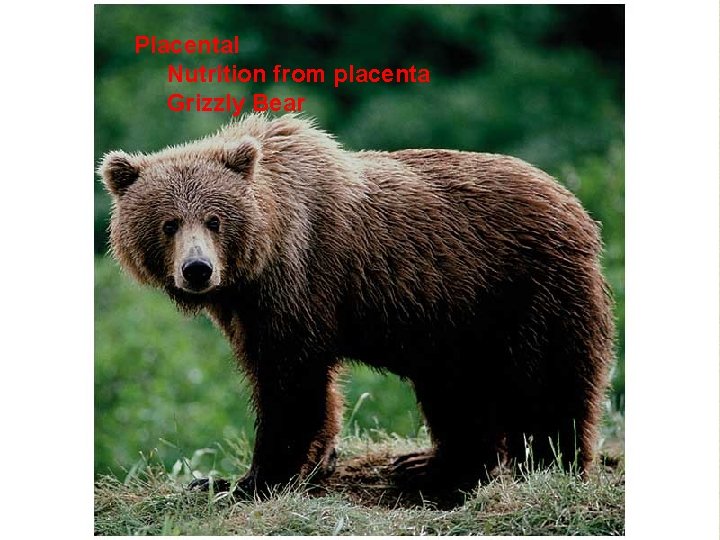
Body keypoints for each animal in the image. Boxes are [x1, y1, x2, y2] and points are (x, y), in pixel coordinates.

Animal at [99, 114, 614, 497]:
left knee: (548, 383)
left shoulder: (301, 281)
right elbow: (310, 388)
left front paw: (247, 479)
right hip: (459, 324)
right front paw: (314, 462)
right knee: (456, 392)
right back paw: (430, 465)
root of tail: (577, 208)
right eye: (168, 223)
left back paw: (551, 466)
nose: (197, 269)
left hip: (524, 291)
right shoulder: (249, 309)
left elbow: (290, 385)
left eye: (214, 219)